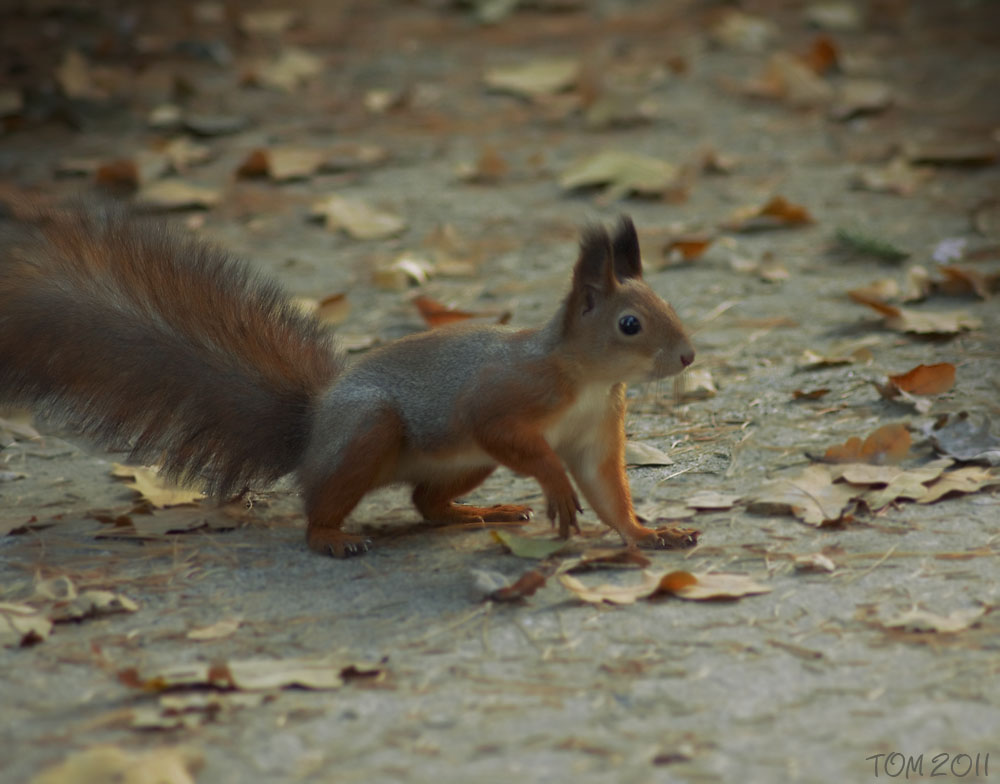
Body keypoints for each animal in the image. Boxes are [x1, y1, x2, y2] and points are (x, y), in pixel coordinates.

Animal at [0, 205, 692, 556]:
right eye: (630, 323)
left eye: (667, 302)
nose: (686, 356)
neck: (587, 378)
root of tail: (313, 428)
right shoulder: (508, 392)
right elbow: (504, 430)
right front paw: (554, 485)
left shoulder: (598, 430)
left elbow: (607, 489)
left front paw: (647, 532)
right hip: (368, 430)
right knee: (320, 508)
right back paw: (333, 537)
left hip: (459, 462)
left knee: (426, 503)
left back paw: (477, 511)